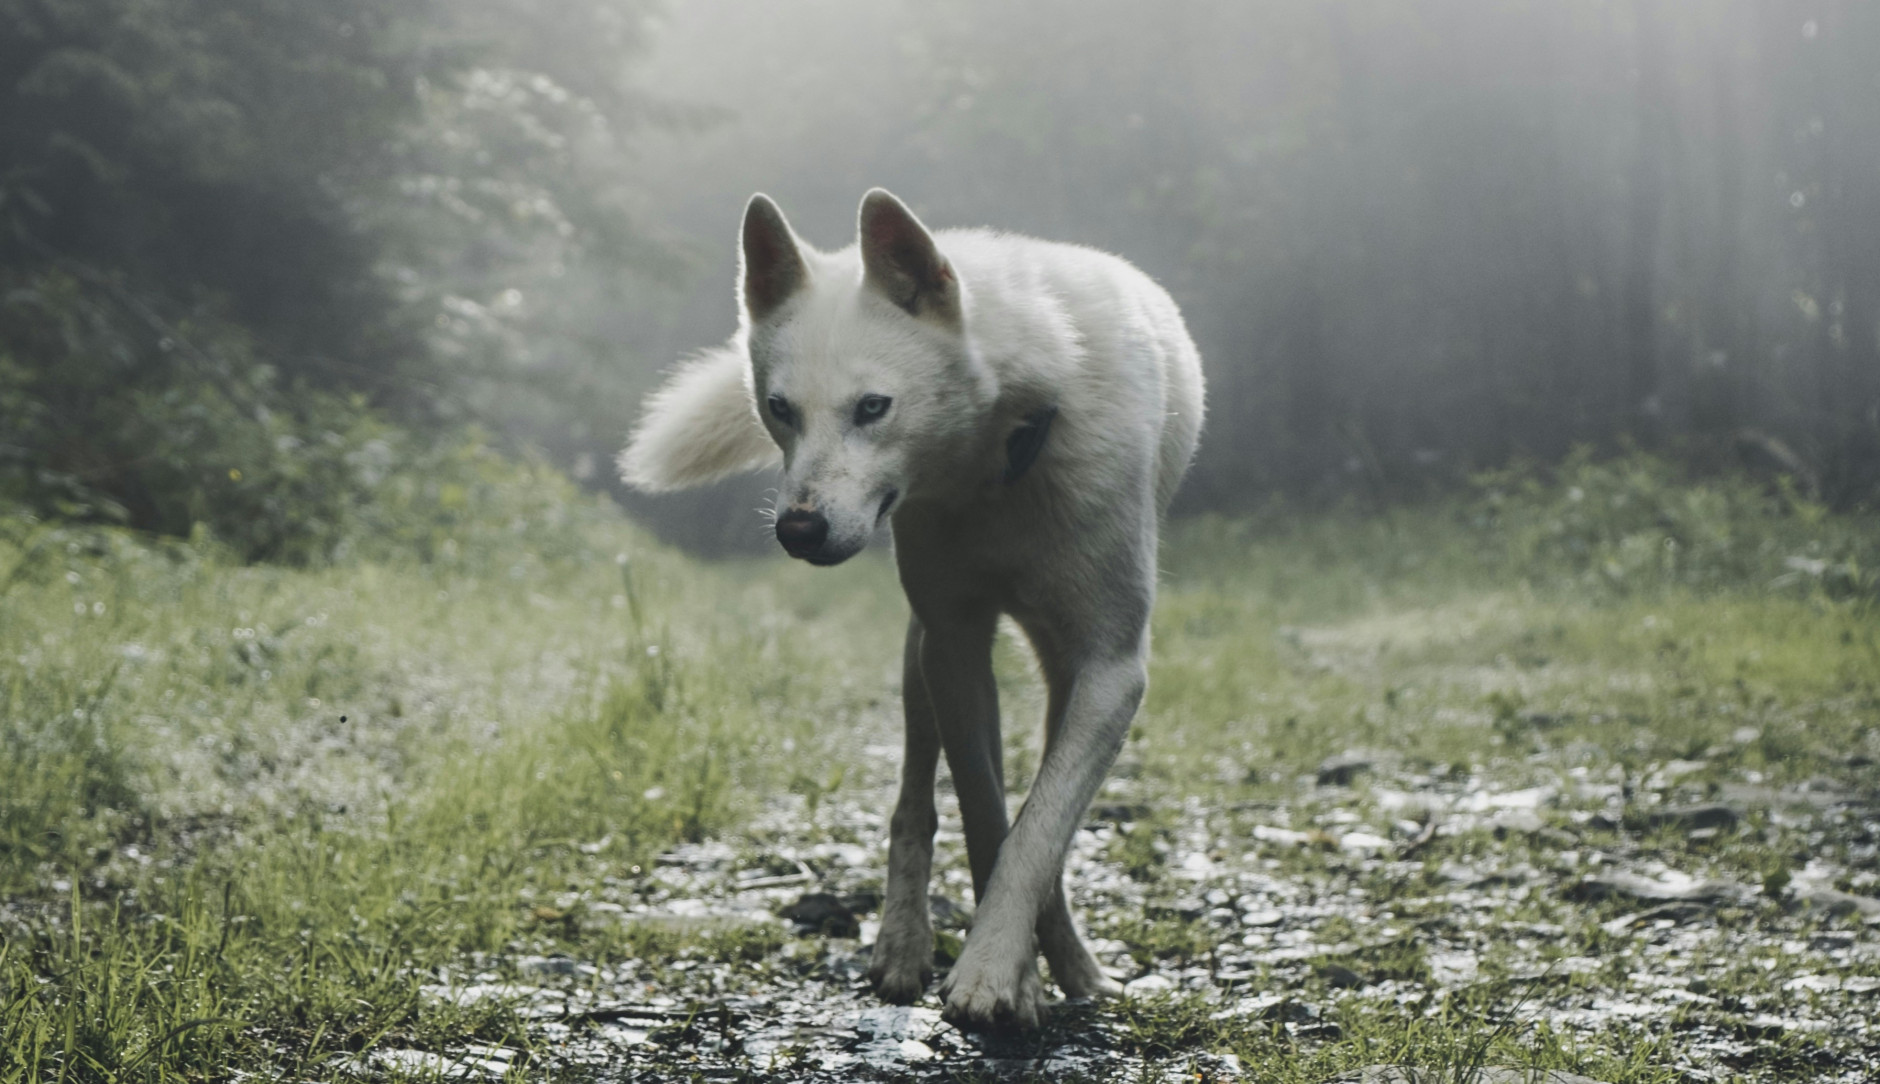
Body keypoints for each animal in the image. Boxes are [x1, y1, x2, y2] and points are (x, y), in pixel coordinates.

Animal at [616, 189, 1203, 1029]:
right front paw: (1013, 975)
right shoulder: (954, 647)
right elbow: (988, 818)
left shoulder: (1111, 670)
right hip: (919, 656)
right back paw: (904, 945)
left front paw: (1002, 967)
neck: (1001, 460)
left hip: (1055, 672)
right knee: (913, 801)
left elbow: (1039, 827)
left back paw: (1074, 963)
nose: (797, 530)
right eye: (780, 410)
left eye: (873, 407)